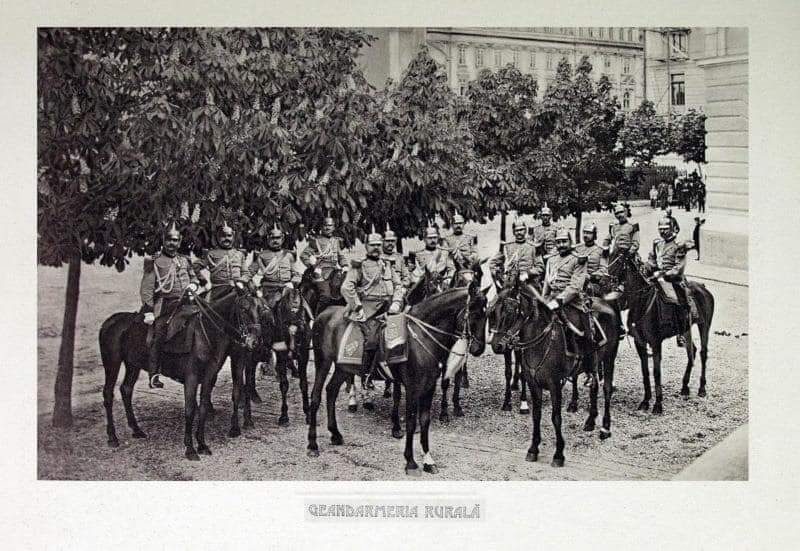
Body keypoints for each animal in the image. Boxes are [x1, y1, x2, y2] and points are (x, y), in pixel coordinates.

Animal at [98, 287, 263, 460]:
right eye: (243, 309)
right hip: (112, 363)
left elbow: (203, 407)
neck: (206, 334)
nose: (255, 341)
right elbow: (189, 409)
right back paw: (112, 437)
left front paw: (202, 444)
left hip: (132, 365)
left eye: (259, 308)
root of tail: (109, 322)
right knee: (108, 394)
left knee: (126, 390)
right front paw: (190, 449)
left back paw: (136, 430)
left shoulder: (209, 377)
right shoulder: (191, 377)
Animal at [306, 280, 489, 475]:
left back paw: (335, 434)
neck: (421, 336)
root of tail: (324, 314)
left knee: (331, 391)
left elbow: (424, 421)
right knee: (316, 397)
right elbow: (410, 421)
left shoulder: (429, 386)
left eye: (487, 314)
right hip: (323, 362)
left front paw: (428, 460)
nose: (479, 349)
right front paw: (410, 461)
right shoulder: (412, 387)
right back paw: (312, 445)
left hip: (343, 367)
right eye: (475, 313)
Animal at [490, 281, 620, 466]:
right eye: (492, 312)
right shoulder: (534, 384)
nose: (497, 346)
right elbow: (536, 416)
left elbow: (556, 417)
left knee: (607, 389)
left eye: (510, 312)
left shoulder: (555, 385)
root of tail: (605, 304)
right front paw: (533, 449)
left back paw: (605, 428)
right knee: (594, 386)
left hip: (609, 358)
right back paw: (590, 421)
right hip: (594, 364)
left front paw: (558, 454)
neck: (541, 341)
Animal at [607, 251, 715, 413]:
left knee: (703, 353)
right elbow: (645, 371)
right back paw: (684, 386)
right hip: (686, 329)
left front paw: (658, 404)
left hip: (704, 326)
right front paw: (645, 401)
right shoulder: (640, 342)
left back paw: (702, 388)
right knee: (692, 351)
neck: (642, 302)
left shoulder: (656, 343)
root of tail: (703, 287)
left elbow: (656, 372)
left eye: (618, 260)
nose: (601, 276)